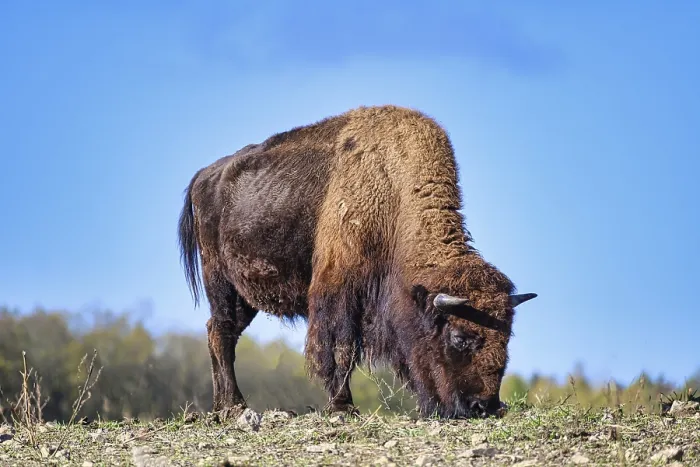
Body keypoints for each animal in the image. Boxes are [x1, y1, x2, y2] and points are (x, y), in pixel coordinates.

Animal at [178, 105, 536, 418]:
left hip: (246, 298)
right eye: (460, 337)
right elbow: (342, 349)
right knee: (222, 333)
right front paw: (343, 406)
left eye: (507, 338)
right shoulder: (339, 288)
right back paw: (234, 406)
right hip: (220, 282)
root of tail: (203, 176)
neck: (395, 195)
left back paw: (221, 406)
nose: (485, 406)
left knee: (217, 332)